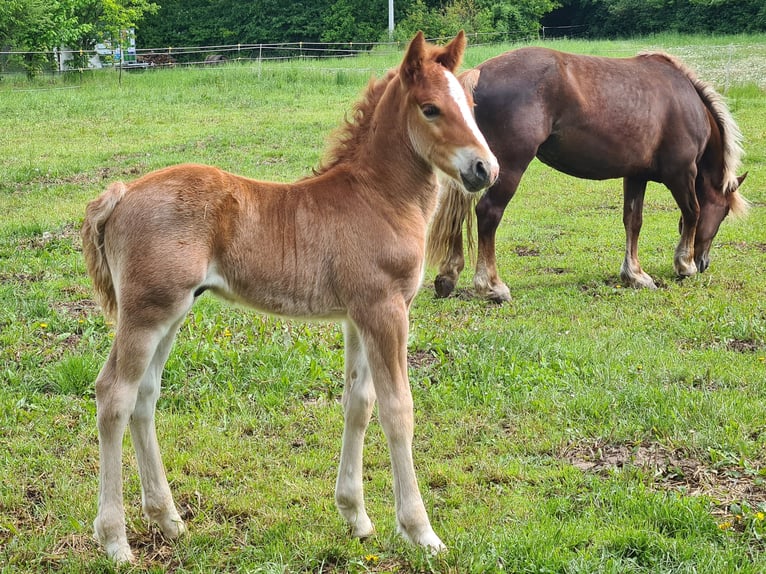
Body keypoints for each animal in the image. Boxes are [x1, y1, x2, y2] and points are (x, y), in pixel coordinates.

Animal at [80, 31, 498, 563]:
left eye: (470, 105)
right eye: (430, 109)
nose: (485, 169)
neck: (378, 197)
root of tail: (123, 192)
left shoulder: (357, 317)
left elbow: (358, 403)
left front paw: (356, 517)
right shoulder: (385, 311)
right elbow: (397, 410)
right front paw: (421, 531)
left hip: (170, 312)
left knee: (144, 396)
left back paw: (169, 520)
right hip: (145, 314)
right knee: (113, 394)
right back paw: (115, 538)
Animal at [426, 47, 747, 302]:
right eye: (723, 214)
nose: (704, 262)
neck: (685, 101)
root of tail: (480, 73)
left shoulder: (636, 176)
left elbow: (633, 221)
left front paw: (635, 274)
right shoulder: (681, 174)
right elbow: (693, 212)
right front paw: (684, 264)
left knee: (459, 213)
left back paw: (448, 276)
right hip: (507, 167)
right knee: (488, 213)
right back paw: (491, 285)